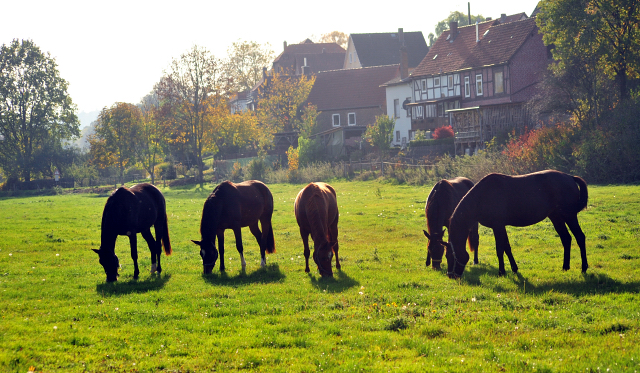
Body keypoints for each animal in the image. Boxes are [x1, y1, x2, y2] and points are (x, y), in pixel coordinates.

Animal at [442, 170, 588, 278]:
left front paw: (501, 272)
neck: (482, 196)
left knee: (580, 237)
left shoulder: (498, 226)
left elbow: (500, 249)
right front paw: (514, 268)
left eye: (450, 256)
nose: (451, 275)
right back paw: (565, 267)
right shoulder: (500, 227)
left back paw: (584, 268)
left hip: (570, 216)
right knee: (566, 239)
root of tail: (570, 177)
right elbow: (507, 247)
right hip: (556, 217)